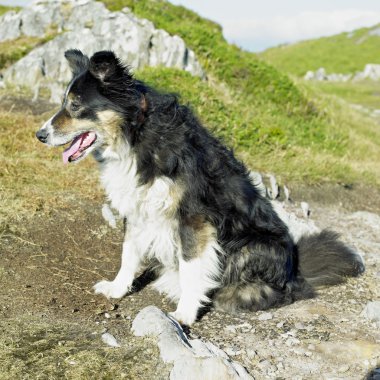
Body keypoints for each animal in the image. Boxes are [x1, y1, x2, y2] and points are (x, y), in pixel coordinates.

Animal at [36, 49, 366, 326]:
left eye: (75, 106)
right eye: (64, 102)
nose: (40, 135)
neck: (137, 135)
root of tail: (295, 268)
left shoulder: (194, 219)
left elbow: (192, 268)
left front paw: (184, 313)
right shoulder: (138, 208)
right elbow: (128, 254)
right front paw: (117, 289)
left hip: (252, 246)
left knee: (278, 292)